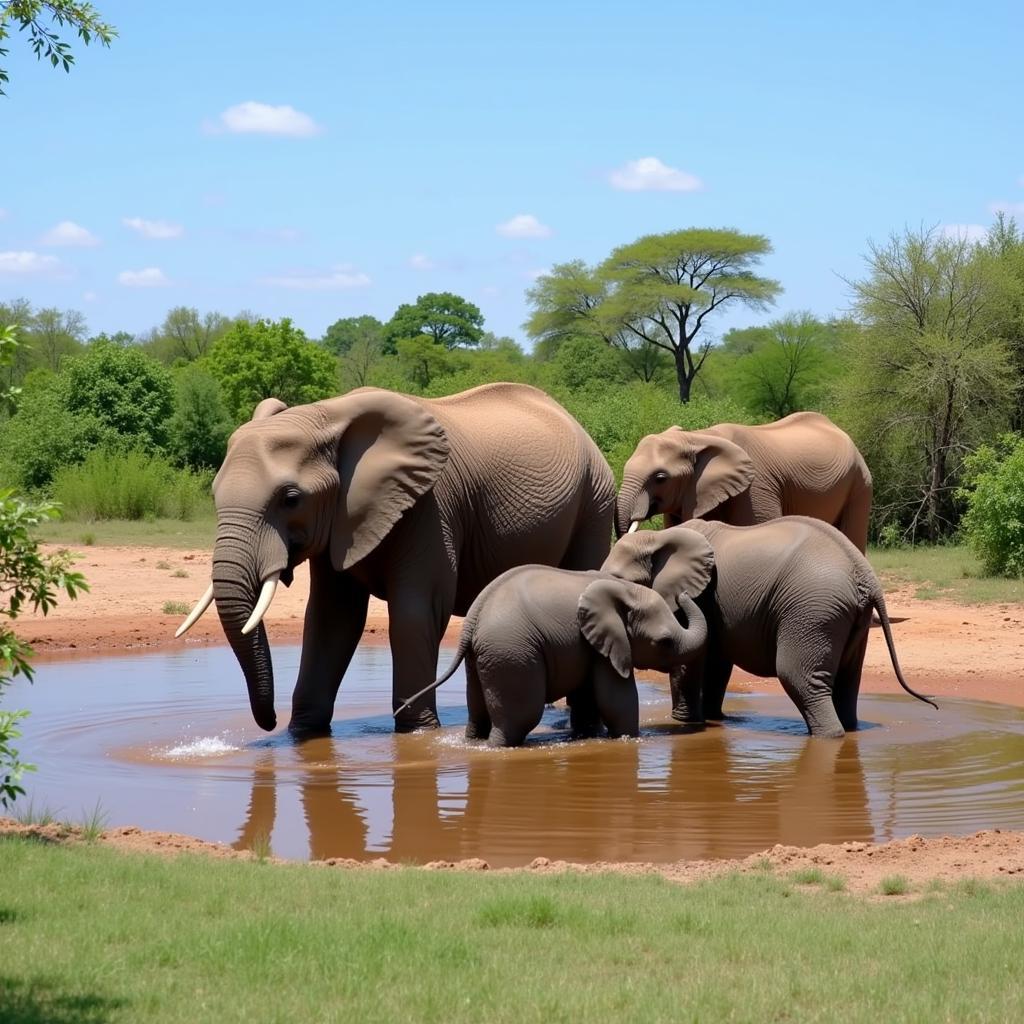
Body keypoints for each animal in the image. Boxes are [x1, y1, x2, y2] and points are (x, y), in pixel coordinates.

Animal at [174, 380, 614, 733]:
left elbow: (415, 613)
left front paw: (416, 733)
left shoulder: (431, 505)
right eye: (213, 493)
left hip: (594, 498)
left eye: (291, 498)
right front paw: (303, 734)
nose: (269, 723)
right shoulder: (340, 519)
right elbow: (331, 619)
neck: (327, 416)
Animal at [395, 565, 708, 749]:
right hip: (512, 652)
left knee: (478, 713)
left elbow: (589, 696)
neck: (625, 590)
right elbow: (616, 698)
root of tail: (473, 617)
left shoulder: (586, 645)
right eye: (664, 642)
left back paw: (473, 743)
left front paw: (588, 736)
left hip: (484, 655)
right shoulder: (608, 646)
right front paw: (629, 740)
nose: (683, 593)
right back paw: (498, 748)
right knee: (521, 716)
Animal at [598, 520, 937, 737]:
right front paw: (711, 719)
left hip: (813, 610)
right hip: (852, 617)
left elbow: (692, 659)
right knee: (847, 681)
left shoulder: (702, 594)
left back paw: (829, 736)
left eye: (621, 580)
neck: (659, 537)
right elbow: (716, 660)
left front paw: (685, 722)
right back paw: (849, 730)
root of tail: (864, 573)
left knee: (797, 675)